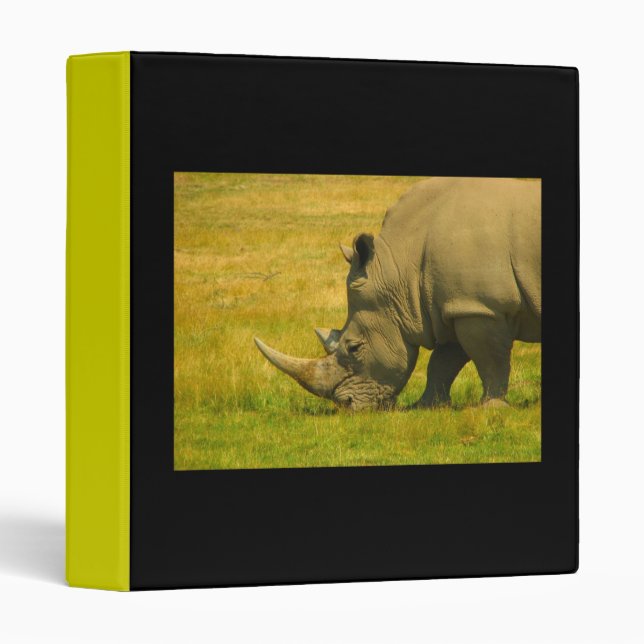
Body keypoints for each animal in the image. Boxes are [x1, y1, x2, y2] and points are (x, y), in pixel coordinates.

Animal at [255, 177, 541, 410]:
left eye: (354, 347)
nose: (346, 405)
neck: (401, 269)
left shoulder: (481, 307)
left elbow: (489, 359)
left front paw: (491, 408)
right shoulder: (455, 304)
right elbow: (443, 361)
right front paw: (427, 406)